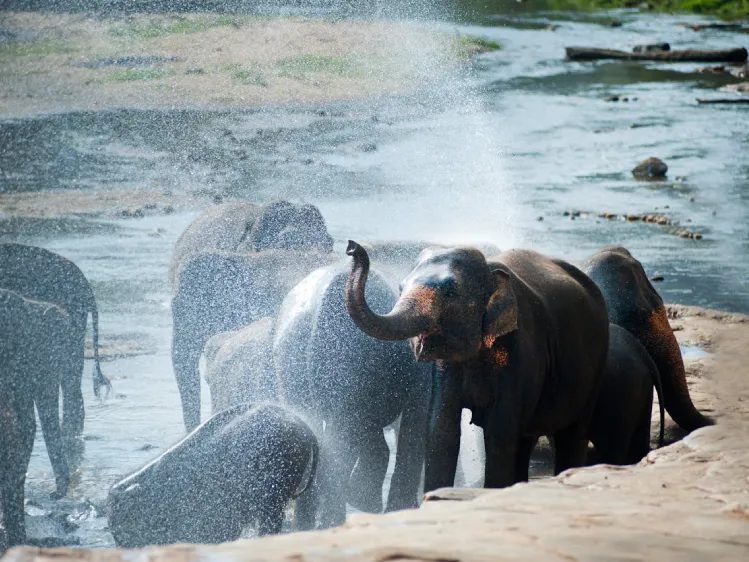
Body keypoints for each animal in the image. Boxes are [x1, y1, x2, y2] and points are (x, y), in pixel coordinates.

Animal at [344, 241, 610, 491]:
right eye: (400, 288)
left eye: (451, 293)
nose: (351, 247)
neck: (490, 270)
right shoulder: (446, 368)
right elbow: (441, 430)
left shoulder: (520, 351)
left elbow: (499, 433)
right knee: (526, 440)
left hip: (597, 362)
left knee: (572, 434)